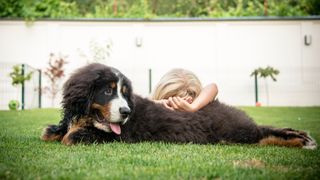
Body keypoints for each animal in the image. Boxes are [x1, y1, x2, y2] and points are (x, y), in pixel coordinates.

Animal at [42, 63, 318, 149]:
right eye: (108, 91)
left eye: (124, 93)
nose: (126, 112)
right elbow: (50, 132)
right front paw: (56, 131)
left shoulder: (119, 137)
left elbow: (71, 137)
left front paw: (69, 134)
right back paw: (301, 137)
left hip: (233, 133)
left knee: (263, 135)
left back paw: (301, 140)